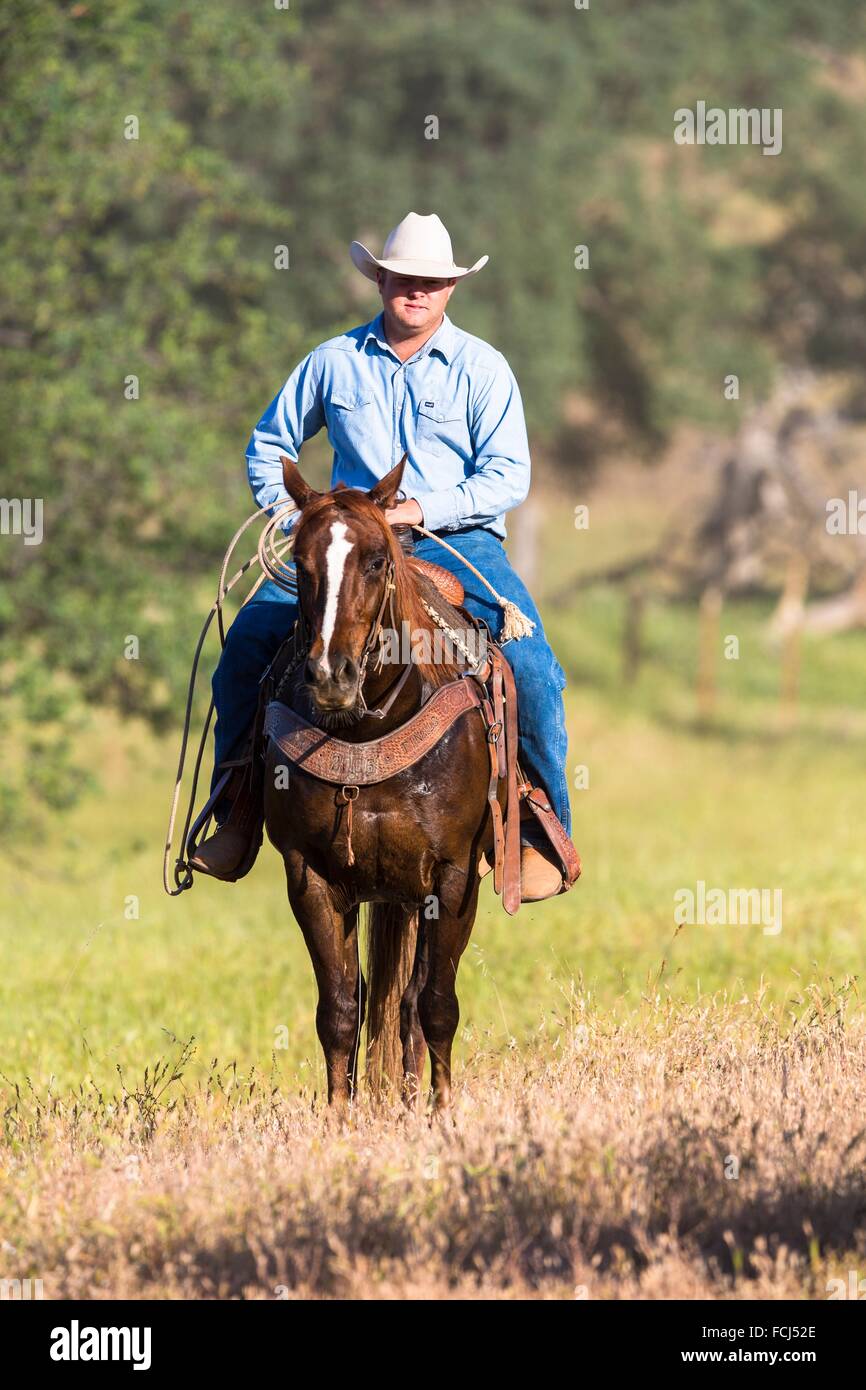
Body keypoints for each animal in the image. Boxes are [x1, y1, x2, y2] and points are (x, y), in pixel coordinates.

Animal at [261, 455, 497, 1117]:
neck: (372, 730)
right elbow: (342, 1010)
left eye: (374, 561)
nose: (330, 676)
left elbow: (436, 1005)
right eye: (301, 562)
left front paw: (442, 1114)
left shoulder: (454, 877)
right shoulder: (309, 877)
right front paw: (340, 1119)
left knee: (416, 1002)